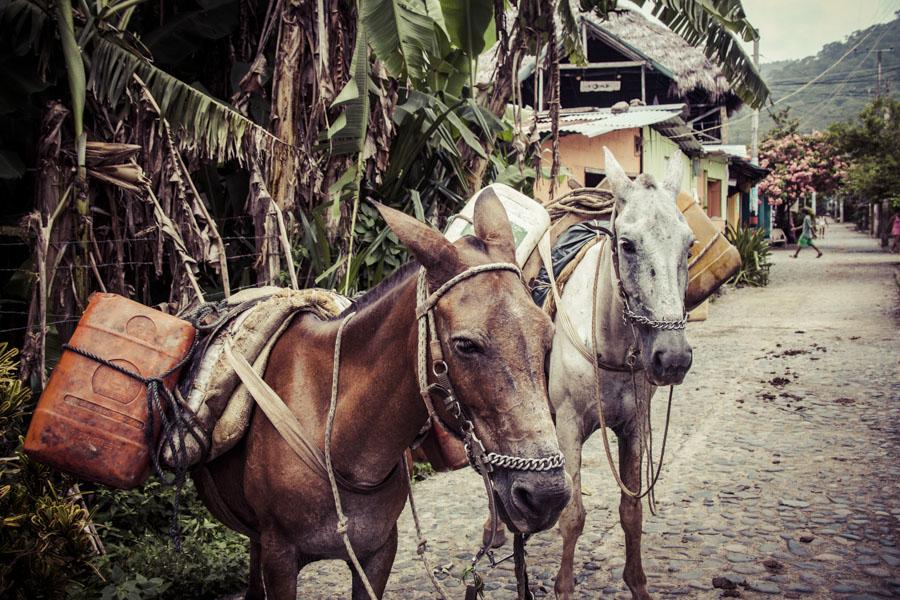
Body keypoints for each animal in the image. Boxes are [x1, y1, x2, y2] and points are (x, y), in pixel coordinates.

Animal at [486, 146, 688, 600]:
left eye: (689, 245)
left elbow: (631, 510)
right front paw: (564, 586)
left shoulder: (634, 427)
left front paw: (637, 582)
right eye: (627, 245)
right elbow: (574, 515)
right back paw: (495, 530)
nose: (672, 358)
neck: (607, 341)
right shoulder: (567, 426)